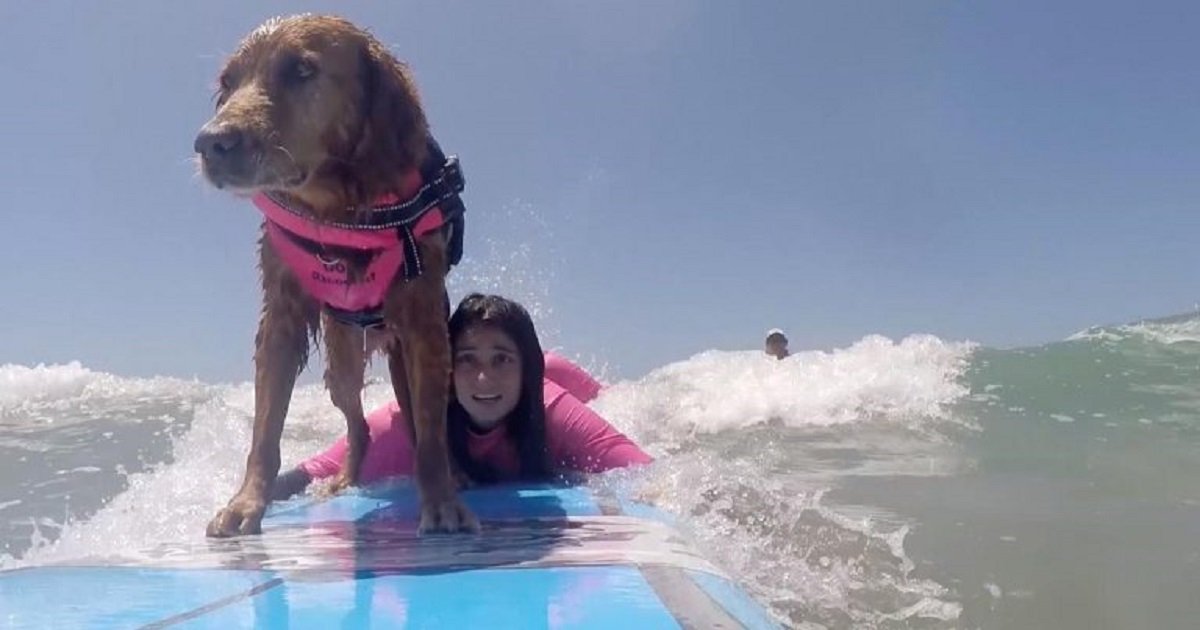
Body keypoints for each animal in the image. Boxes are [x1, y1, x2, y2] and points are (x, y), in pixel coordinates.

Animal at [194, 14, 475, 535]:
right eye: (228, 82)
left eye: (302, 70)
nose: (210, 143)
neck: (339, 207)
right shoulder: (280, 318)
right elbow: (265, 431)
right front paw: (246, 504)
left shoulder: (423, 316)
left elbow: (430, 432)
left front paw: (442, 499)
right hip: (342, 363)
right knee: (359, 424)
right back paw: (345, 478)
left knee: (416, 420)